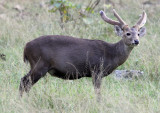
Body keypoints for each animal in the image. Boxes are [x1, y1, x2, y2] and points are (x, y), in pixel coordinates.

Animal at [19, 9, 147, 100]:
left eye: (138, 33)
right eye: (127, 33)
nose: (136, 41)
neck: (110, 54)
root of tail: (26, 47)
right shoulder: (96, 70)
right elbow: (98, 92)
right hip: (39, 64)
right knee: (24, 81)